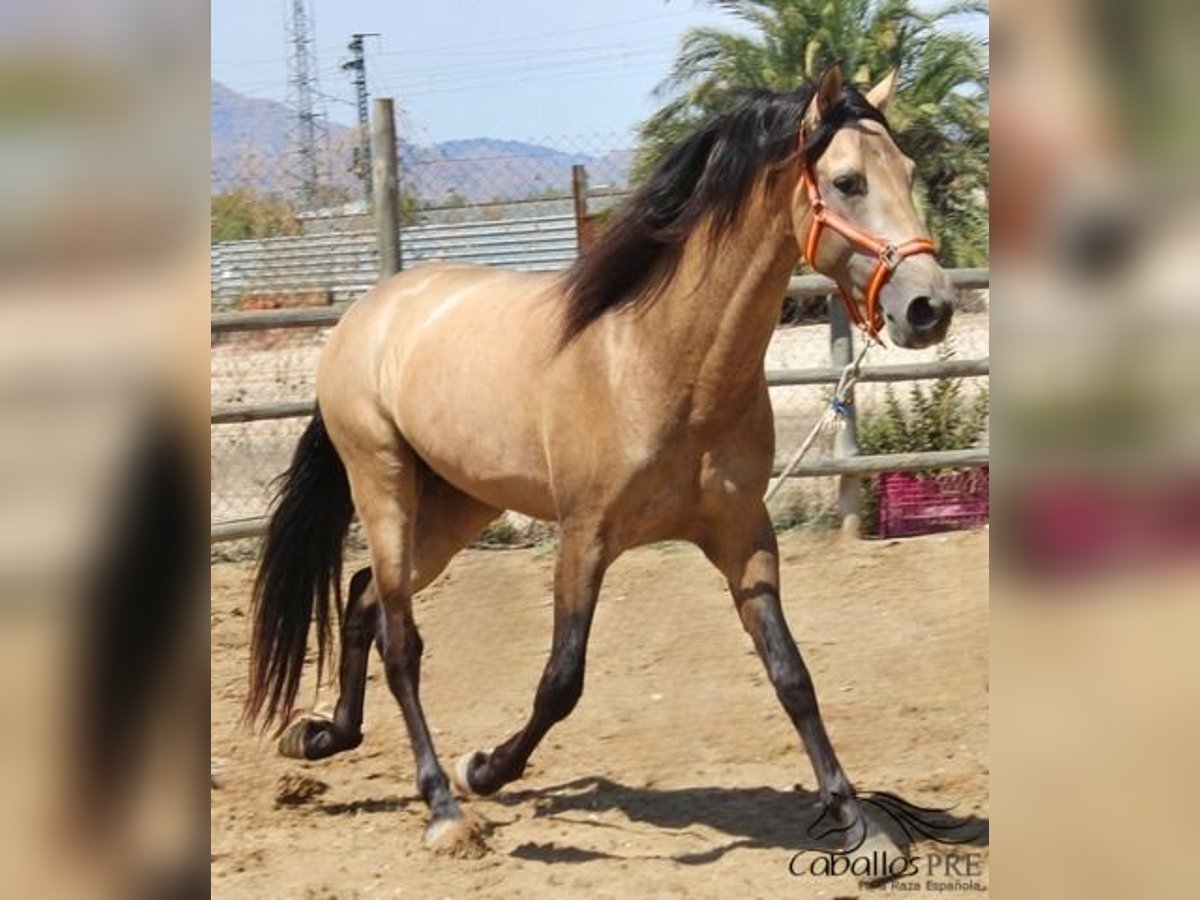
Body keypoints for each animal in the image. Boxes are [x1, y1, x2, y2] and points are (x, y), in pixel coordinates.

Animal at [243, 60, 955, 864]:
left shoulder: (743, 535)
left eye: (908, 170)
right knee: (400, 637)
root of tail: (366, 314)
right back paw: (443, 809)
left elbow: (791, 674)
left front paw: (857, 822)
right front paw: (482, 768)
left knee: (364, 596)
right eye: (846, 181)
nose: (929, 307)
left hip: (460, 503)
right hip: (384, 483)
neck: (662, 362)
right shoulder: (584, 537)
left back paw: (321, 738)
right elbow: (561, 681)